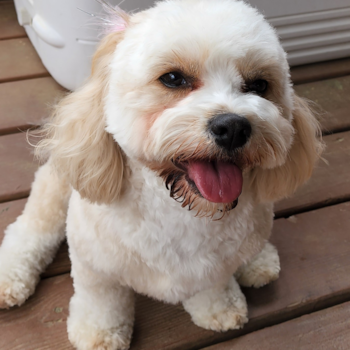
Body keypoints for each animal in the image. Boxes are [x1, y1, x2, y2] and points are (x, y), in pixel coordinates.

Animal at [0, 1, 322, 348]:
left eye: (260, 85)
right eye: (173, 78)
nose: (234, 127)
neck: (181, 212)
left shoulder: (216, 266)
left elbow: (213, 286)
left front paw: (218, 309)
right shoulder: (95, 267)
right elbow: (102, 302)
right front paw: (99, 332)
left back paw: (258, 260)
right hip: (55, 189)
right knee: (32, 229)